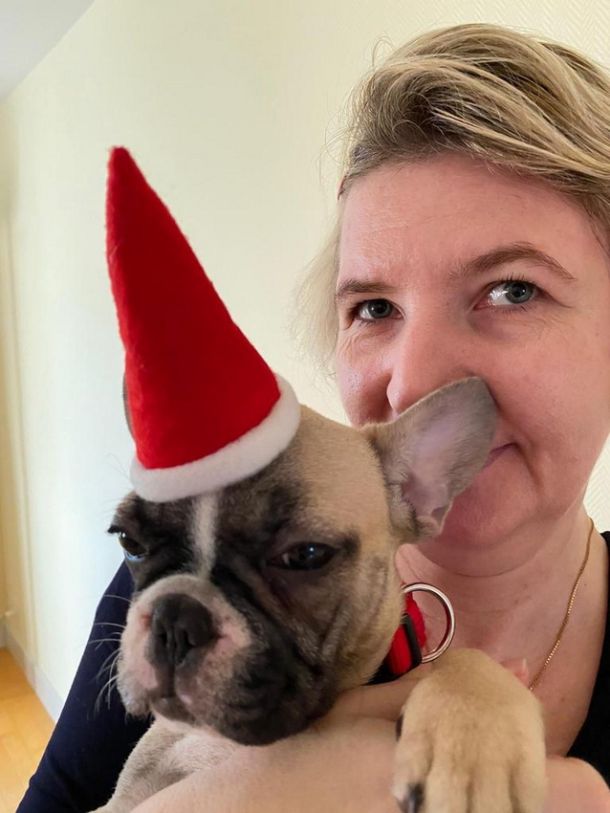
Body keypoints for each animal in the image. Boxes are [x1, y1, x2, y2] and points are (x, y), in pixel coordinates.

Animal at [91, 378, 546, 813]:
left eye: (304, 555)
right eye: (129, 541)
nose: (174, 616)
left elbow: (469, 660)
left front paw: (476, 750)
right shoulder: (126, 797)